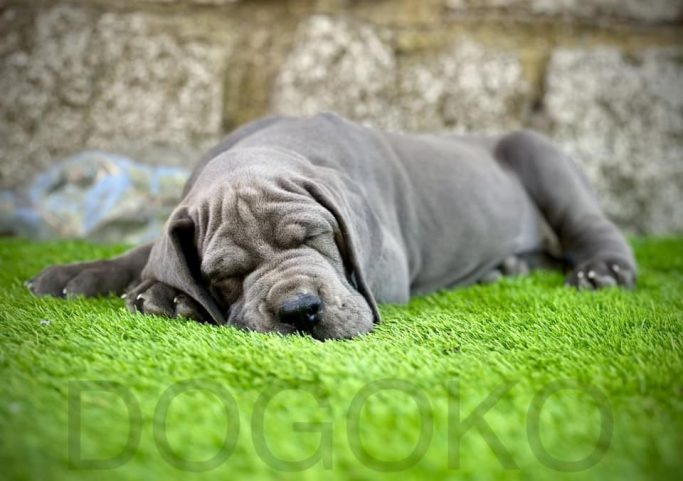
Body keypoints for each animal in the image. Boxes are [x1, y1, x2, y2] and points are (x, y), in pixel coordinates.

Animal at [26, 113, 636, 340]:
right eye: (224, 275)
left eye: (315, 237)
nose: (299, 311)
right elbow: (144, 249)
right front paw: (88, 276)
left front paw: (166, 297)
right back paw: (505, 267)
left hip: (543, 161)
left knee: (592, 228)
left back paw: (601, 271)